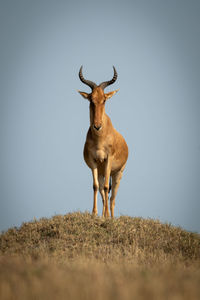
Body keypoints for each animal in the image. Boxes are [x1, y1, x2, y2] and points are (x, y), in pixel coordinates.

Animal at [78, 66, 128, 218]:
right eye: (91, 100)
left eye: (104, 99)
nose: (97, 126)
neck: (100, 138)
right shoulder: (94, 161)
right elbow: (95, 187)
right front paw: (94, 214)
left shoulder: (108, 159)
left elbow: (107, 188)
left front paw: (105, 215)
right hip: (102, 173)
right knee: (102, 192)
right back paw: (103, 215)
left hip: (117, 173)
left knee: (112, 197)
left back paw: (110, 216)